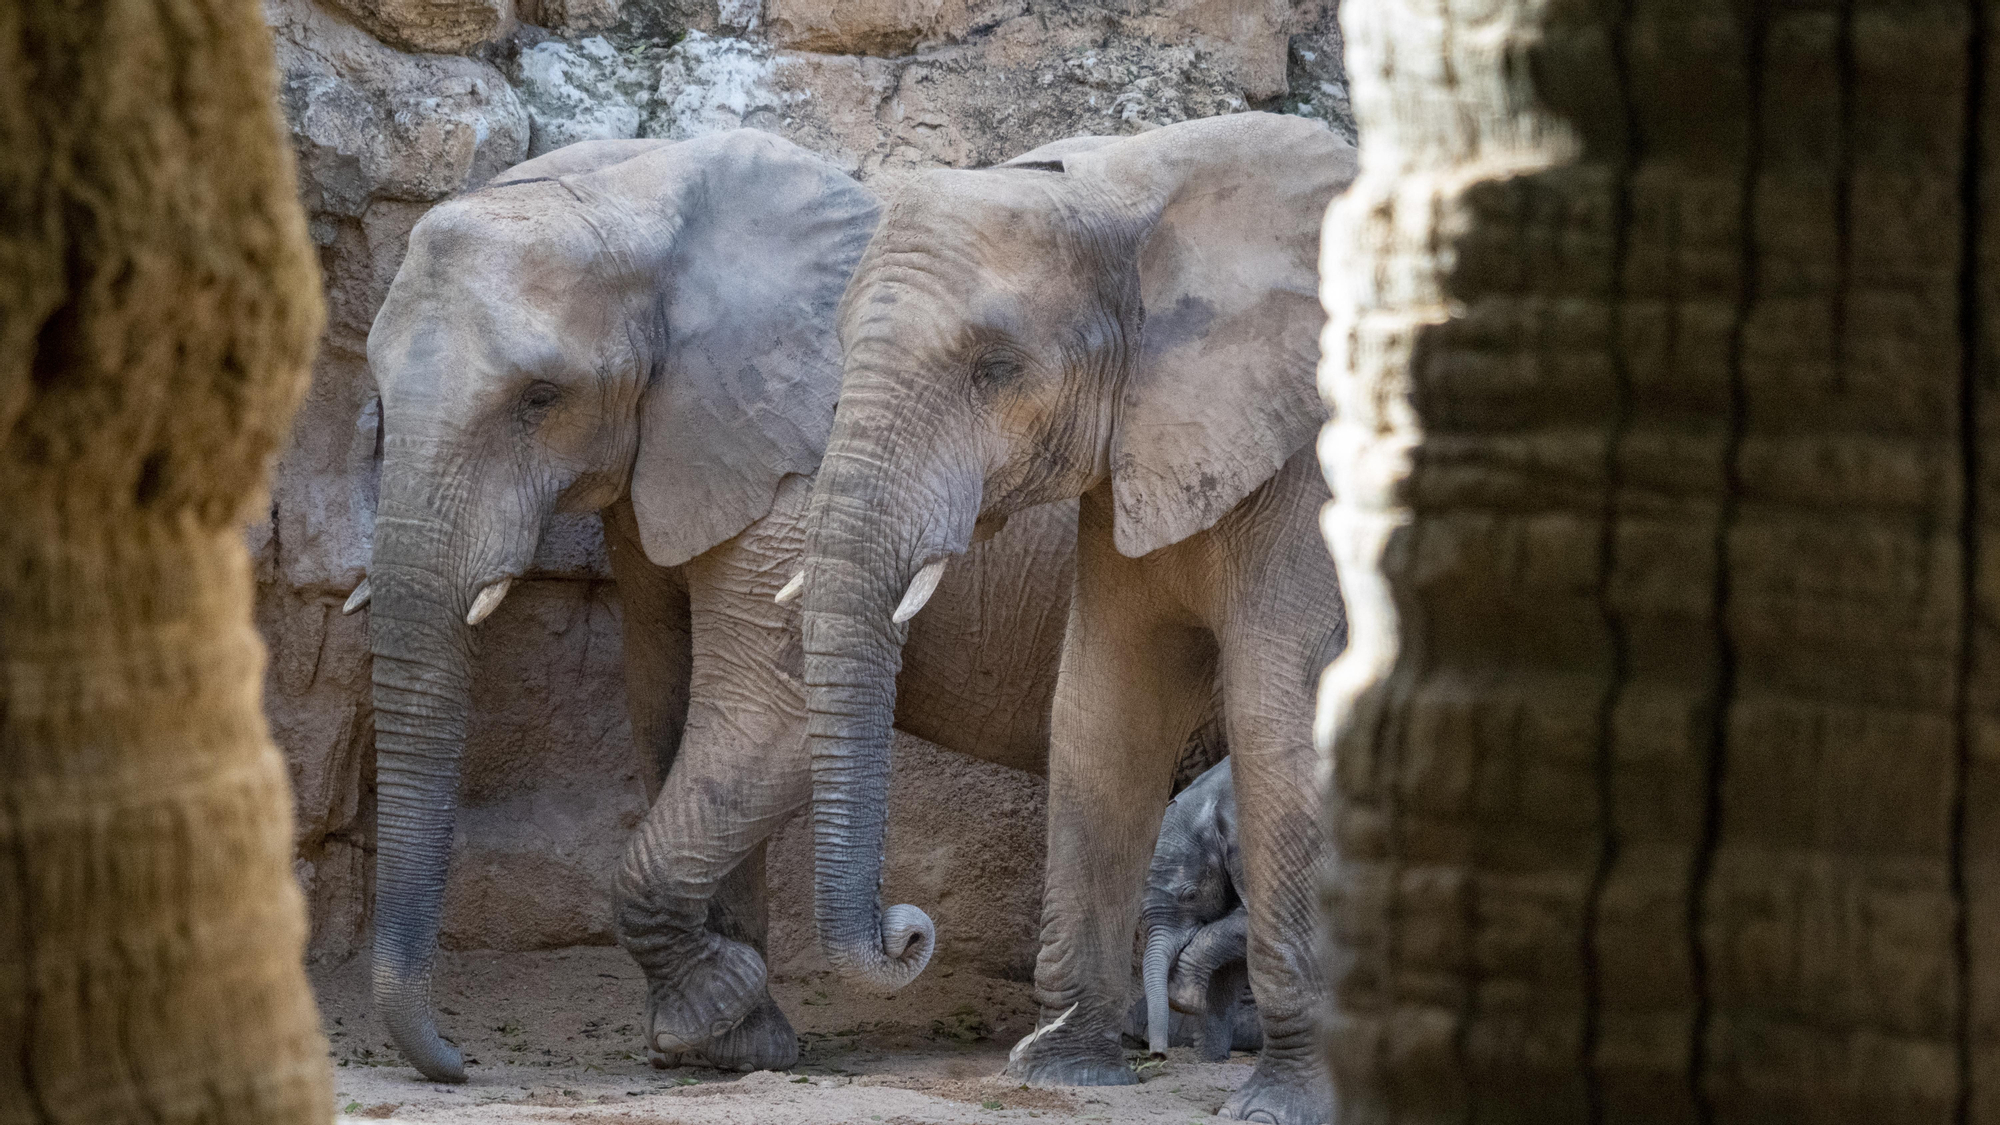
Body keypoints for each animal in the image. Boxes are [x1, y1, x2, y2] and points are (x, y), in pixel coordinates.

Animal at [360, 129, 1112, 1080]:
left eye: (540, 397)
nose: (460, 1060)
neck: (641, 197)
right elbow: (670, 705)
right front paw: (737, 1039)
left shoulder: (796, 459)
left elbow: (764, 712)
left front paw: (711, 1018)